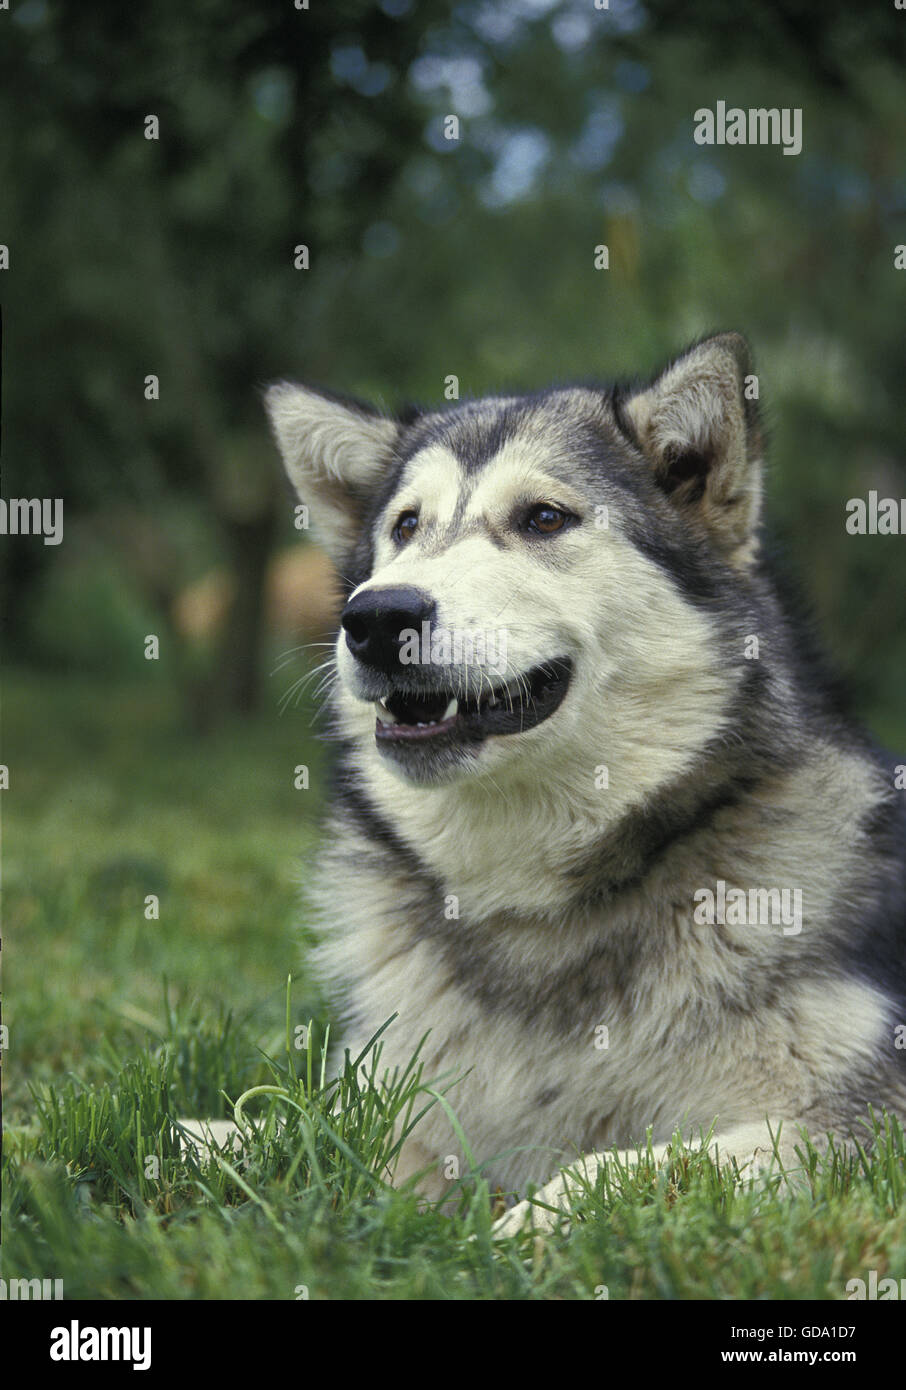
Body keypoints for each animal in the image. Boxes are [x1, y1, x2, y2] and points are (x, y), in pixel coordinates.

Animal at [264, 333, 906, 1228]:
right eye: (405, 527)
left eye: (543, 518)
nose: (377, 617)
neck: (534, 905)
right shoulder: (396, 1100)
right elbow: (284, 1133)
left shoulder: (860, 1125)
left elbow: (615, 1167)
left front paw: (522, 1225)